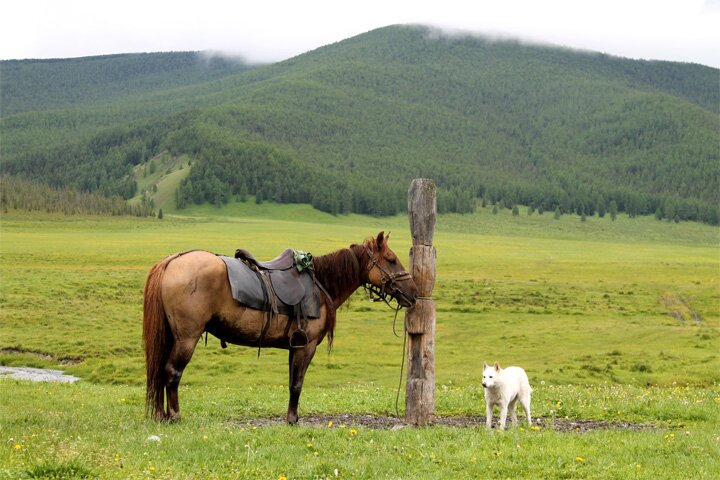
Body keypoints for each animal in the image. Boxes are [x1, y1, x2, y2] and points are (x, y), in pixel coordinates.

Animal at [143, 232, 420, 424]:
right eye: (391, 260)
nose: (414, 293)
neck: (320, 284)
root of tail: (172, 261)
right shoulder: (306, 346)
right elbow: (297, 384)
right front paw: (293, 420)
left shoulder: (294, 346)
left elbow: (291, 383)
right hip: (186, 338)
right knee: (172, 372)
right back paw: (174, 416)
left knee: (161, 372)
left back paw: (160, 415)